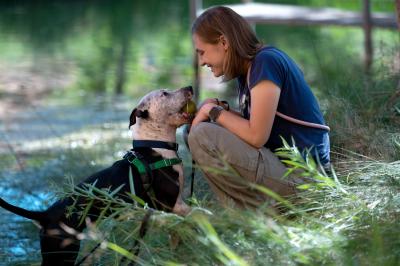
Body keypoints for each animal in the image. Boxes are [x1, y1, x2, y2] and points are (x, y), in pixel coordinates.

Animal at [0, 86, 194, 264]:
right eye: (165, 94)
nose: (190, 87)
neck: (154, 145)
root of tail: (44, 215)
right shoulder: (170, 205)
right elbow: (192, 214)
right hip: (63, 252)